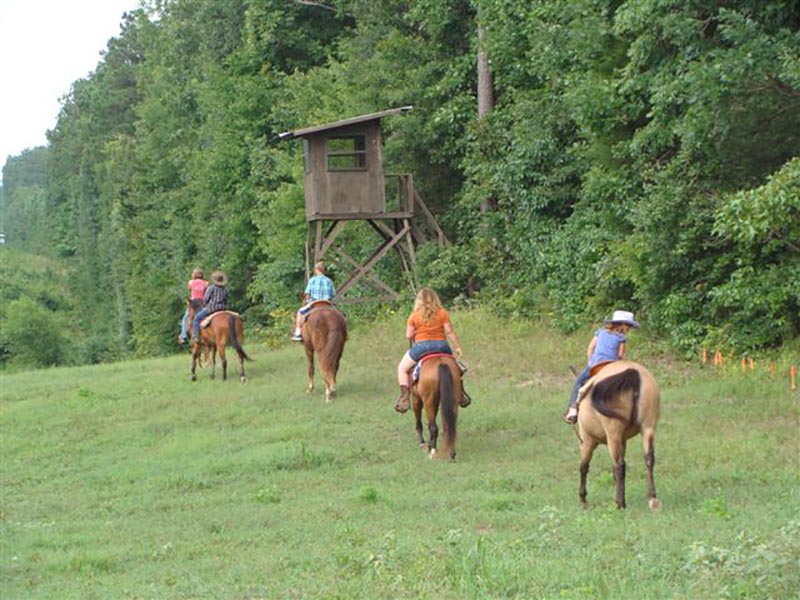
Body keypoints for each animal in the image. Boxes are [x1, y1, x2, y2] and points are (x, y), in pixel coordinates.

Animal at [576, 360, 664, 510]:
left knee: (619, 465)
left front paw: (583, 499)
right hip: (648, 427)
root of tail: (632, 372)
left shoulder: (588, 441)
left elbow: (584, 467)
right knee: (649, 459)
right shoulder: (623, 441)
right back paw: (652, 499)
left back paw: (619, 503)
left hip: (613, 434)